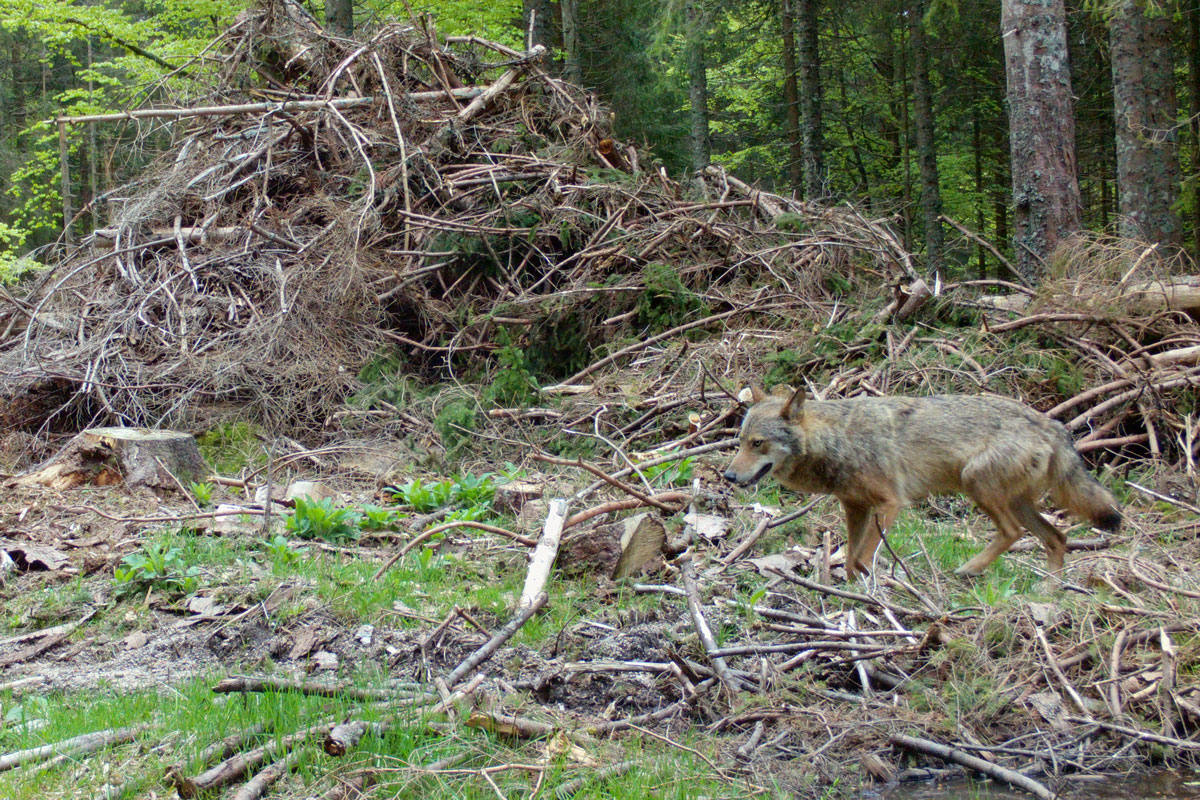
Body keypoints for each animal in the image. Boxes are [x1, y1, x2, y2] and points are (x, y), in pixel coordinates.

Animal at [723, 386, 1121, 579]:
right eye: (739, 442)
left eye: (757, 443)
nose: (727, 475)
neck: (838, 440)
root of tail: (1050, 423)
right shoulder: (855, 508)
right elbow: (849, 561)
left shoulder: (890, 504)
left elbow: (861, 559)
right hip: (1016, 502)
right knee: (1058, 539)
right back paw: (1051, 593)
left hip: (977, 485)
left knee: (1013, 533)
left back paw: (970, 569)